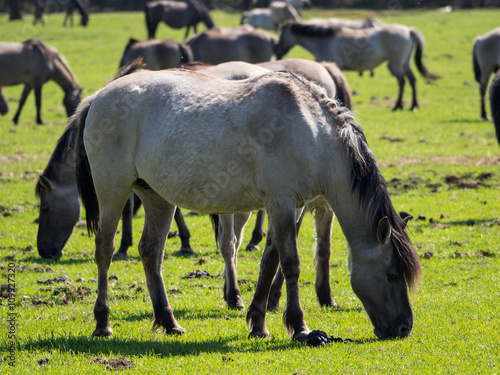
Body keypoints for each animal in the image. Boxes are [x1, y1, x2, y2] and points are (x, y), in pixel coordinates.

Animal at [74, 69, 422, 342]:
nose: (404, 328)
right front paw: (300, 327)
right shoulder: (281, 203)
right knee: (104, 251)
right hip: (113, 192)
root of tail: (99, 96)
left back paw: (169, 322)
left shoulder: (289, 207)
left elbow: (269, 262)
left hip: (156, 198)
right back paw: (103, 323)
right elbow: (291, 264)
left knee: (151, 252)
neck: (310, 129)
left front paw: (258, 323)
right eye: (392, 274)